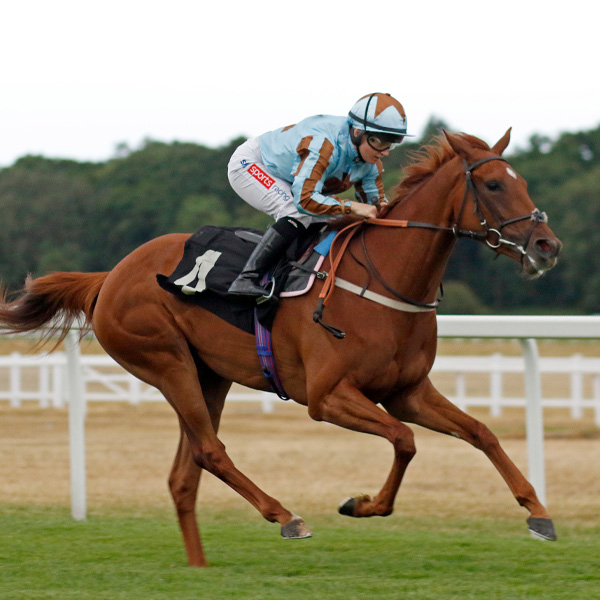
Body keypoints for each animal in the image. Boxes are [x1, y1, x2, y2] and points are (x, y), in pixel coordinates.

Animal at [0, 131, 564, 568]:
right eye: (493, 184)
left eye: (523, 182)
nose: (547, 247)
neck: (383, 280)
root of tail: (109, 275)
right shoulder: (328, 397)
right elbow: (404, 440)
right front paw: (362, 504)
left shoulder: (407, 392)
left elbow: (481, 432)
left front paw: (538, 512)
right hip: (167, 362)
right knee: (210, 451)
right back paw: (286, 516)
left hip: (209, 376)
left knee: (185, 473)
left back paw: (200, 565)